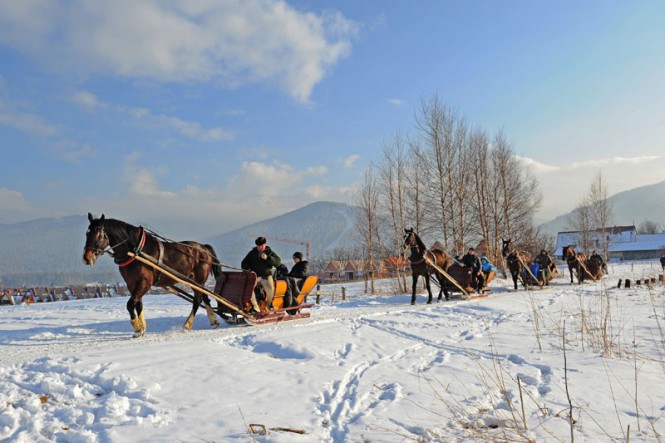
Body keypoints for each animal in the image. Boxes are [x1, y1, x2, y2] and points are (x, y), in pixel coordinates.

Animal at [82, 213, 222, 337]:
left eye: (98, 234)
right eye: (87, 233)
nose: (86, 258)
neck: (137, 251)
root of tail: (204, 248)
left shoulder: (145, 282)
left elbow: (130, 304)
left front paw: (137, 329)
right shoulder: (132, 284)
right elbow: (138, 304)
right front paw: (142, 327)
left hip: (198, 280)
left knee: (197, 300)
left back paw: (187, 325)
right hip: (195, 282)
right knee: (205, 297)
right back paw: (213, 321)